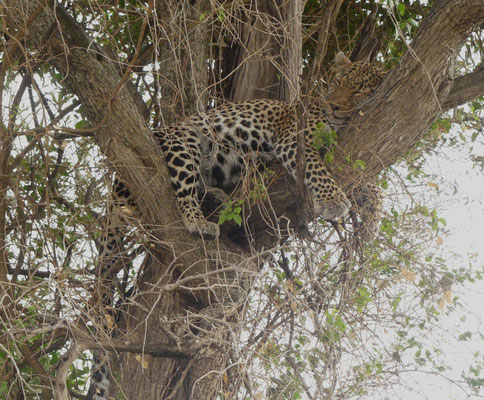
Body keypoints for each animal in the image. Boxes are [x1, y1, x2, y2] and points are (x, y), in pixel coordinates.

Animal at [88, 51, 386, 398]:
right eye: (338, 83)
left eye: (361, 89)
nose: (334, 106)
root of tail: (115, 183)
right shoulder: (294, 139)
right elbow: (317, 167)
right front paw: (331, 199)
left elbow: (369, 182)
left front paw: (372, 220)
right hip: (185, 141)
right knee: (182, 189)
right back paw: (199, 221)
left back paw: (219, 196)